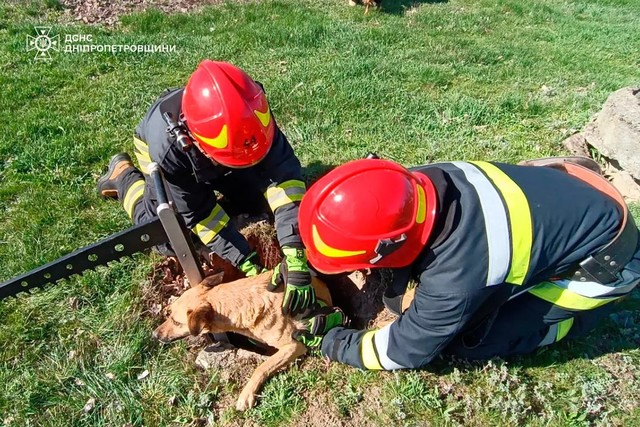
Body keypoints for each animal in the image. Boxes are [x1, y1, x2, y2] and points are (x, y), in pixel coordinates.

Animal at [152, 271, 332, 411]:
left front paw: (246, 394)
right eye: (170, 314)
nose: (155, 335)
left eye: (176, 322)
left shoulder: (294, 345)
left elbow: (261, 367)